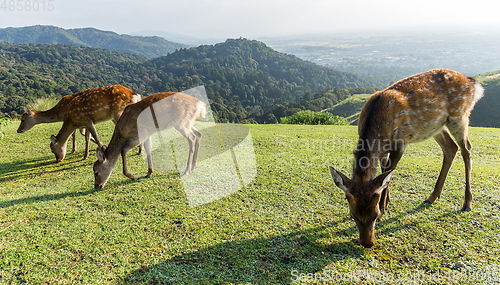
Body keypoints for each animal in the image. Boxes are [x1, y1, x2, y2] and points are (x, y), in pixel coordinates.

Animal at [330, 68, 482, 246]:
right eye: (353, 215)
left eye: (374, 215)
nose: (367, 243)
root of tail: (472, 82)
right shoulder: (383, 150)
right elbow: (385, 173)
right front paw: (387, 202)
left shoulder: (401, 141)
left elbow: (389, 171)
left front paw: (383, 207)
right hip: (437, 126)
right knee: (451, 148)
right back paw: (432, 197)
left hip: (459, 116)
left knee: (467, 148)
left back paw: (467, 202)